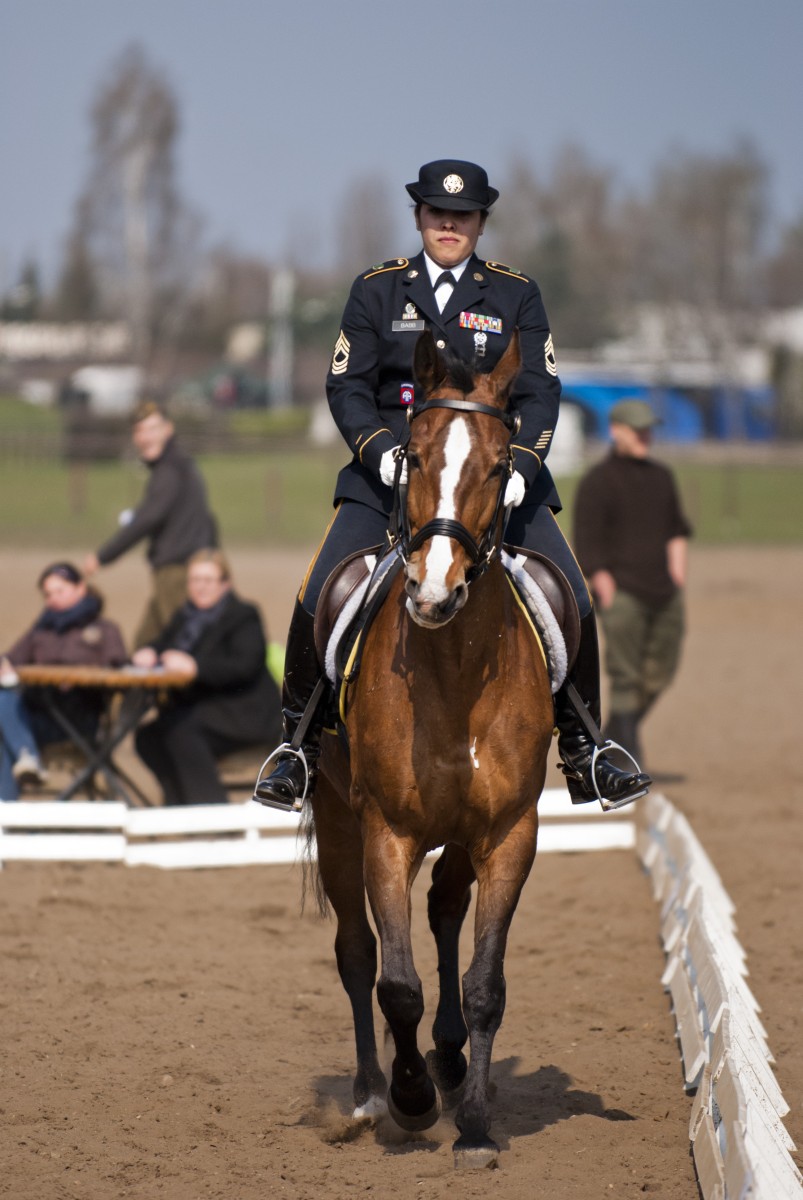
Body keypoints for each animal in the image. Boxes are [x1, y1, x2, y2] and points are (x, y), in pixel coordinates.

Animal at [309, 328, 554, 1171]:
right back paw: (369, 1094)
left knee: (446, 912)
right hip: (336, 818)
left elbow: (483, 983)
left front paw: (473, 1124)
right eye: (411, 458)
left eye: (500, 466)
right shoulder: (385, 833)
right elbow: (395, 982)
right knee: (356, 953)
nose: (432, 592)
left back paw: (447, 1061)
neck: (453, 670)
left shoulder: (509, 834)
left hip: (463, 835)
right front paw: (411, 1098)